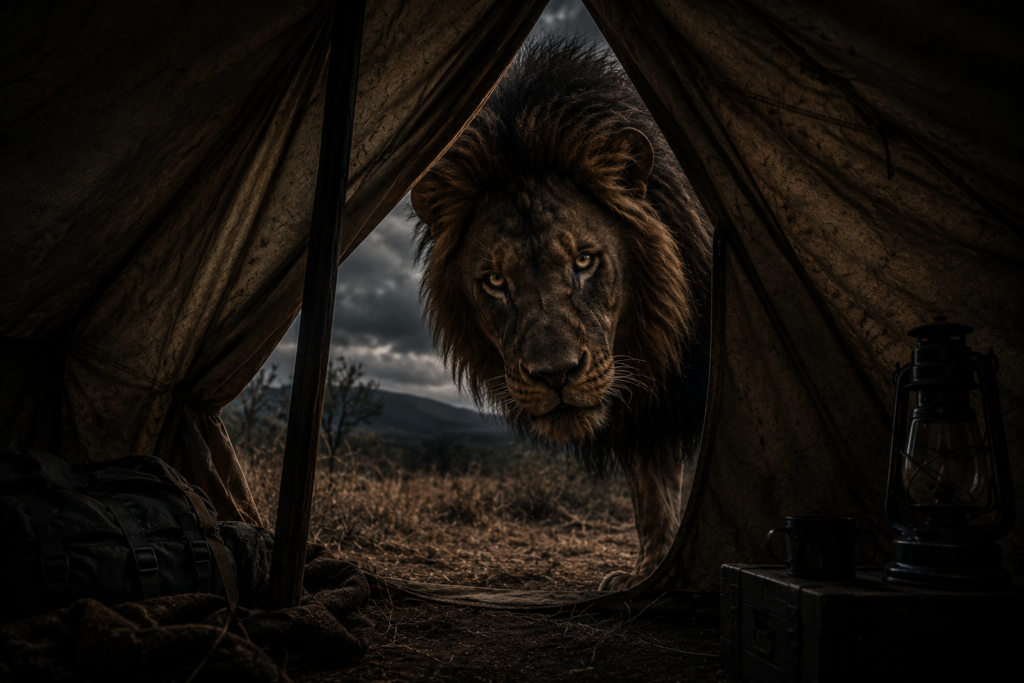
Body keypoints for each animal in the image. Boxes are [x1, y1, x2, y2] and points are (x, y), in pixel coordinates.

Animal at [410, 38, 713, 591]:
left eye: (584, 261)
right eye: (495, 281)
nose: (555, 375)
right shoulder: (646, 407)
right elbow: (651, 493)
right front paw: (649, 572)